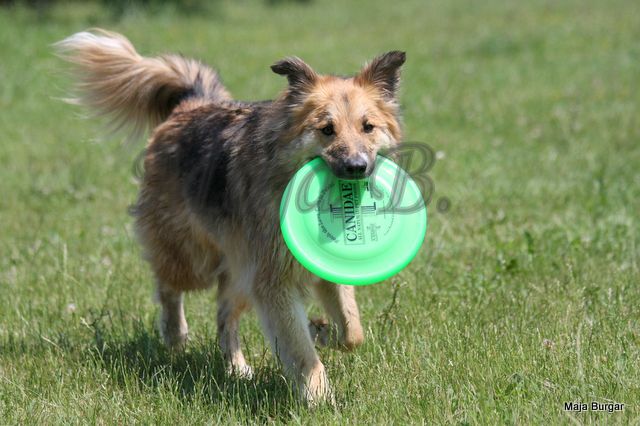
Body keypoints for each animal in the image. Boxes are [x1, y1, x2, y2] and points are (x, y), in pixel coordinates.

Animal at [55, 30, 404, 402]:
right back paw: (174, 334)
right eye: (327, 129)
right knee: (168, 285)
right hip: (194, 257)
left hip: (239, 270)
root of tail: (191, 105)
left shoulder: (312, 271)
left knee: (224, 317)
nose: (356, 167)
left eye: (368, 127)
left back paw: (236, 368)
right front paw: (318, 393)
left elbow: (352, 332)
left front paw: (320, 330)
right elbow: (300, 349)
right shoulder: (271, 279)